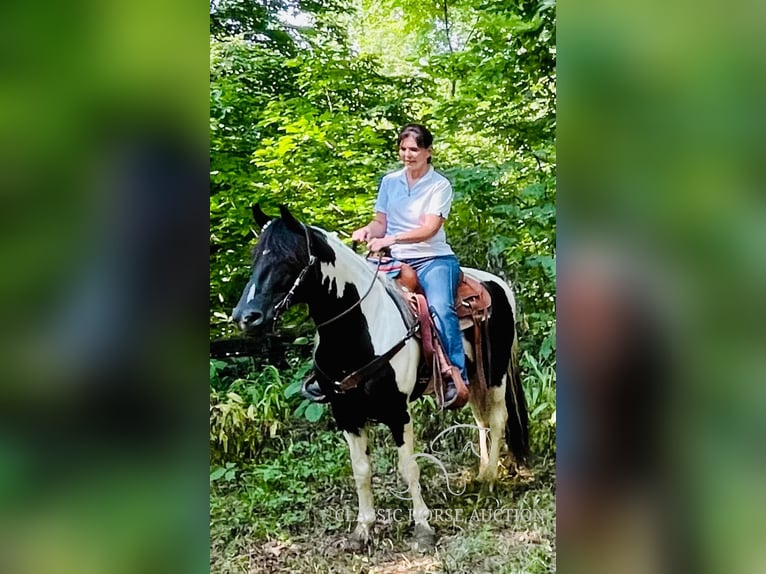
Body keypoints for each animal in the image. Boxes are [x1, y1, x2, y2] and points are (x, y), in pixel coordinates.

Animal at [231, 205, 528, 552]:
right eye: (256, 257)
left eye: (288, 258)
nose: (245, 317)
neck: (357, 333)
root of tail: (496, 283)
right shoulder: (346, 414)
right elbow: (361, 470)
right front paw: (363, 529)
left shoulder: (398, 412)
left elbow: (409, 467)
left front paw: (423, 527)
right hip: (474, 379)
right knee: (481, 419)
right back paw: (480, 474)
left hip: (495, 375)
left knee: (496, 418)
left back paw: (490, 480)